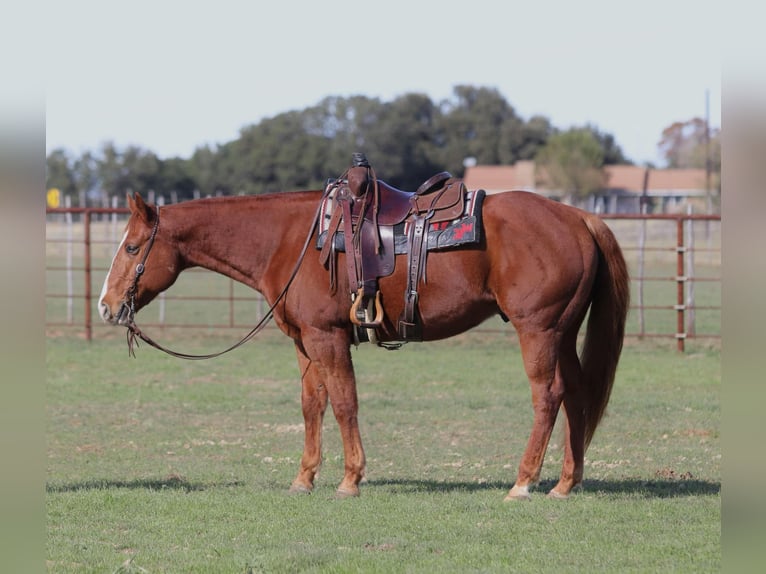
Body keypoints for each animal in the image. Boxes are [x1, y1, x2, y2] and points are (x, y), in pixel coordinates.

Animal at [98, 187, 629, 500]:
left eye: (131, 247)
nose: (106, 306)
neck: (291, 239)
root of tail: (579, 217)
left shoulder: (327, 337)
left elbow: (344, 403)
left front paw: (351, 479)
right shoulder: (305, 342)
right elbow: (312, 405)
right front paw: (304, 478)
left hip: (538, 330)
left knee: (548, 396)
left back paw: (523, 483)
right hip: (563, 333)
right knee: (577, 396)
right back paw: (565, 483)